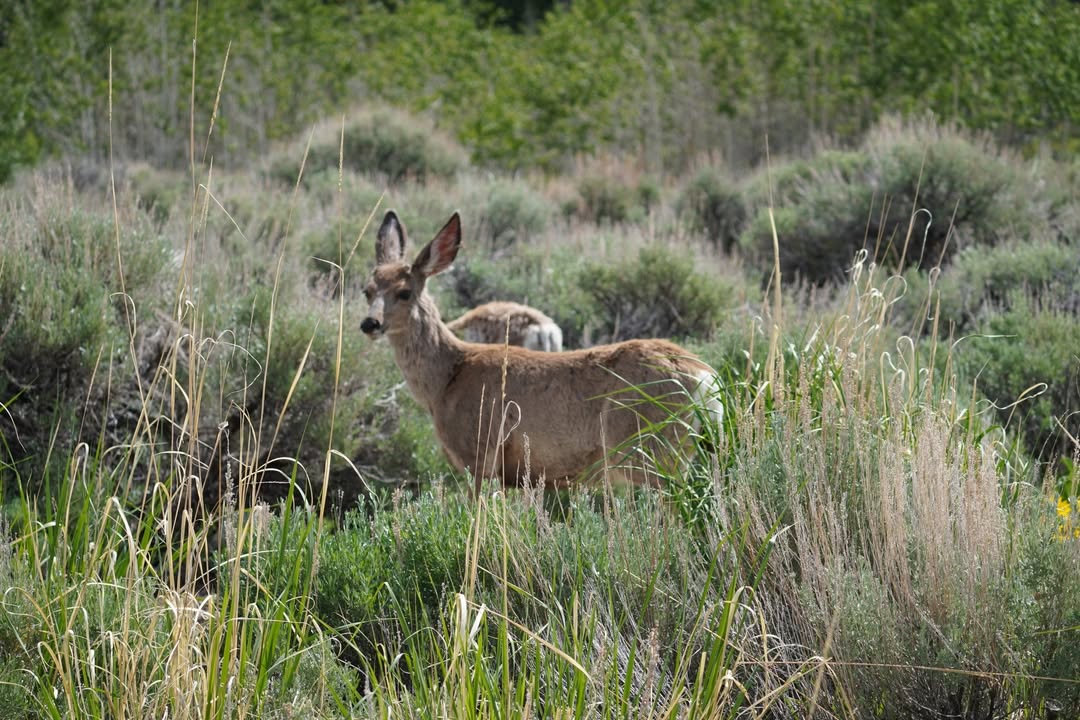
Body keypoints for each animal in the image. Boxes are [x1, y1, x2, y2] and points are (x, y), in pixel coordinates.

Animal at [361, 210, 722, 487]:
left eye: (405, 292)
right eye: (367, 290)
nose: (370, 323)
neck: (446, 379)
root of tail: (705, 377)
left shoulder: (479, 456)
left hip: (652, 451)